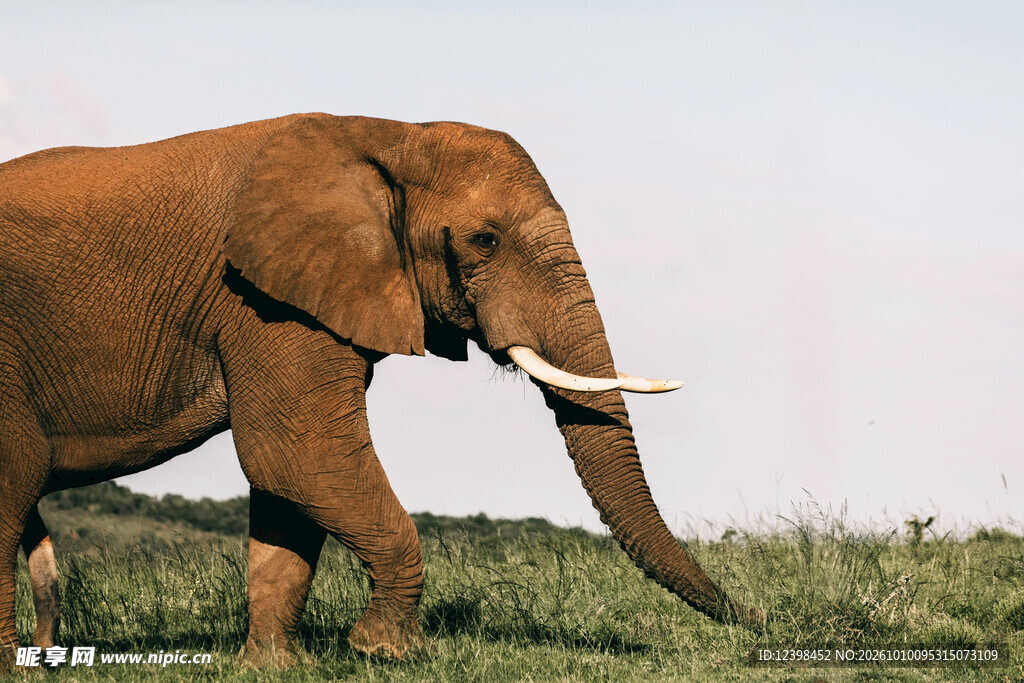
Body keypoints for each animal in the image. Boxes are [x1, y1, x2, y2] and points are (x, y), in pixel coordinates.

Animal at [0, 113, 761, 668]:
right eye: (483, 240)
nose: (756, 620)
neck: (388, 133)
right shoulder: (261, 298)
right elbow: (299, 456)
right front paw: (385, 651)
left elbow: (289, 483)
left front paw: (277, 670)